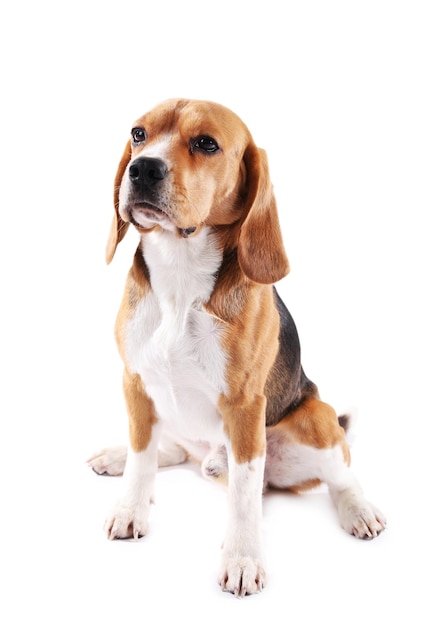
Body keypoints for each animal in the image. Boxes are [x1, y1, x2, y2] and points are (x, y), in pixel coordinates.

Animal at [86, 97, 384, 596]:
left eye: (207, 143)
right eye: (138, 134)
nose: (142, 169)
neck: (180, 274)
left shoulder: (245, 407)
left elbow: (244, 495)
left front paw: (243, 558)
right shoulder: (135, 383)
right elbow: (142, 458)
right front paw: (131, 508)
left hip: (317, 420)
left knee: (340, 476)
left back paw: (359, 510)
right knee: (172, 449)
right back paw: (118, 455)